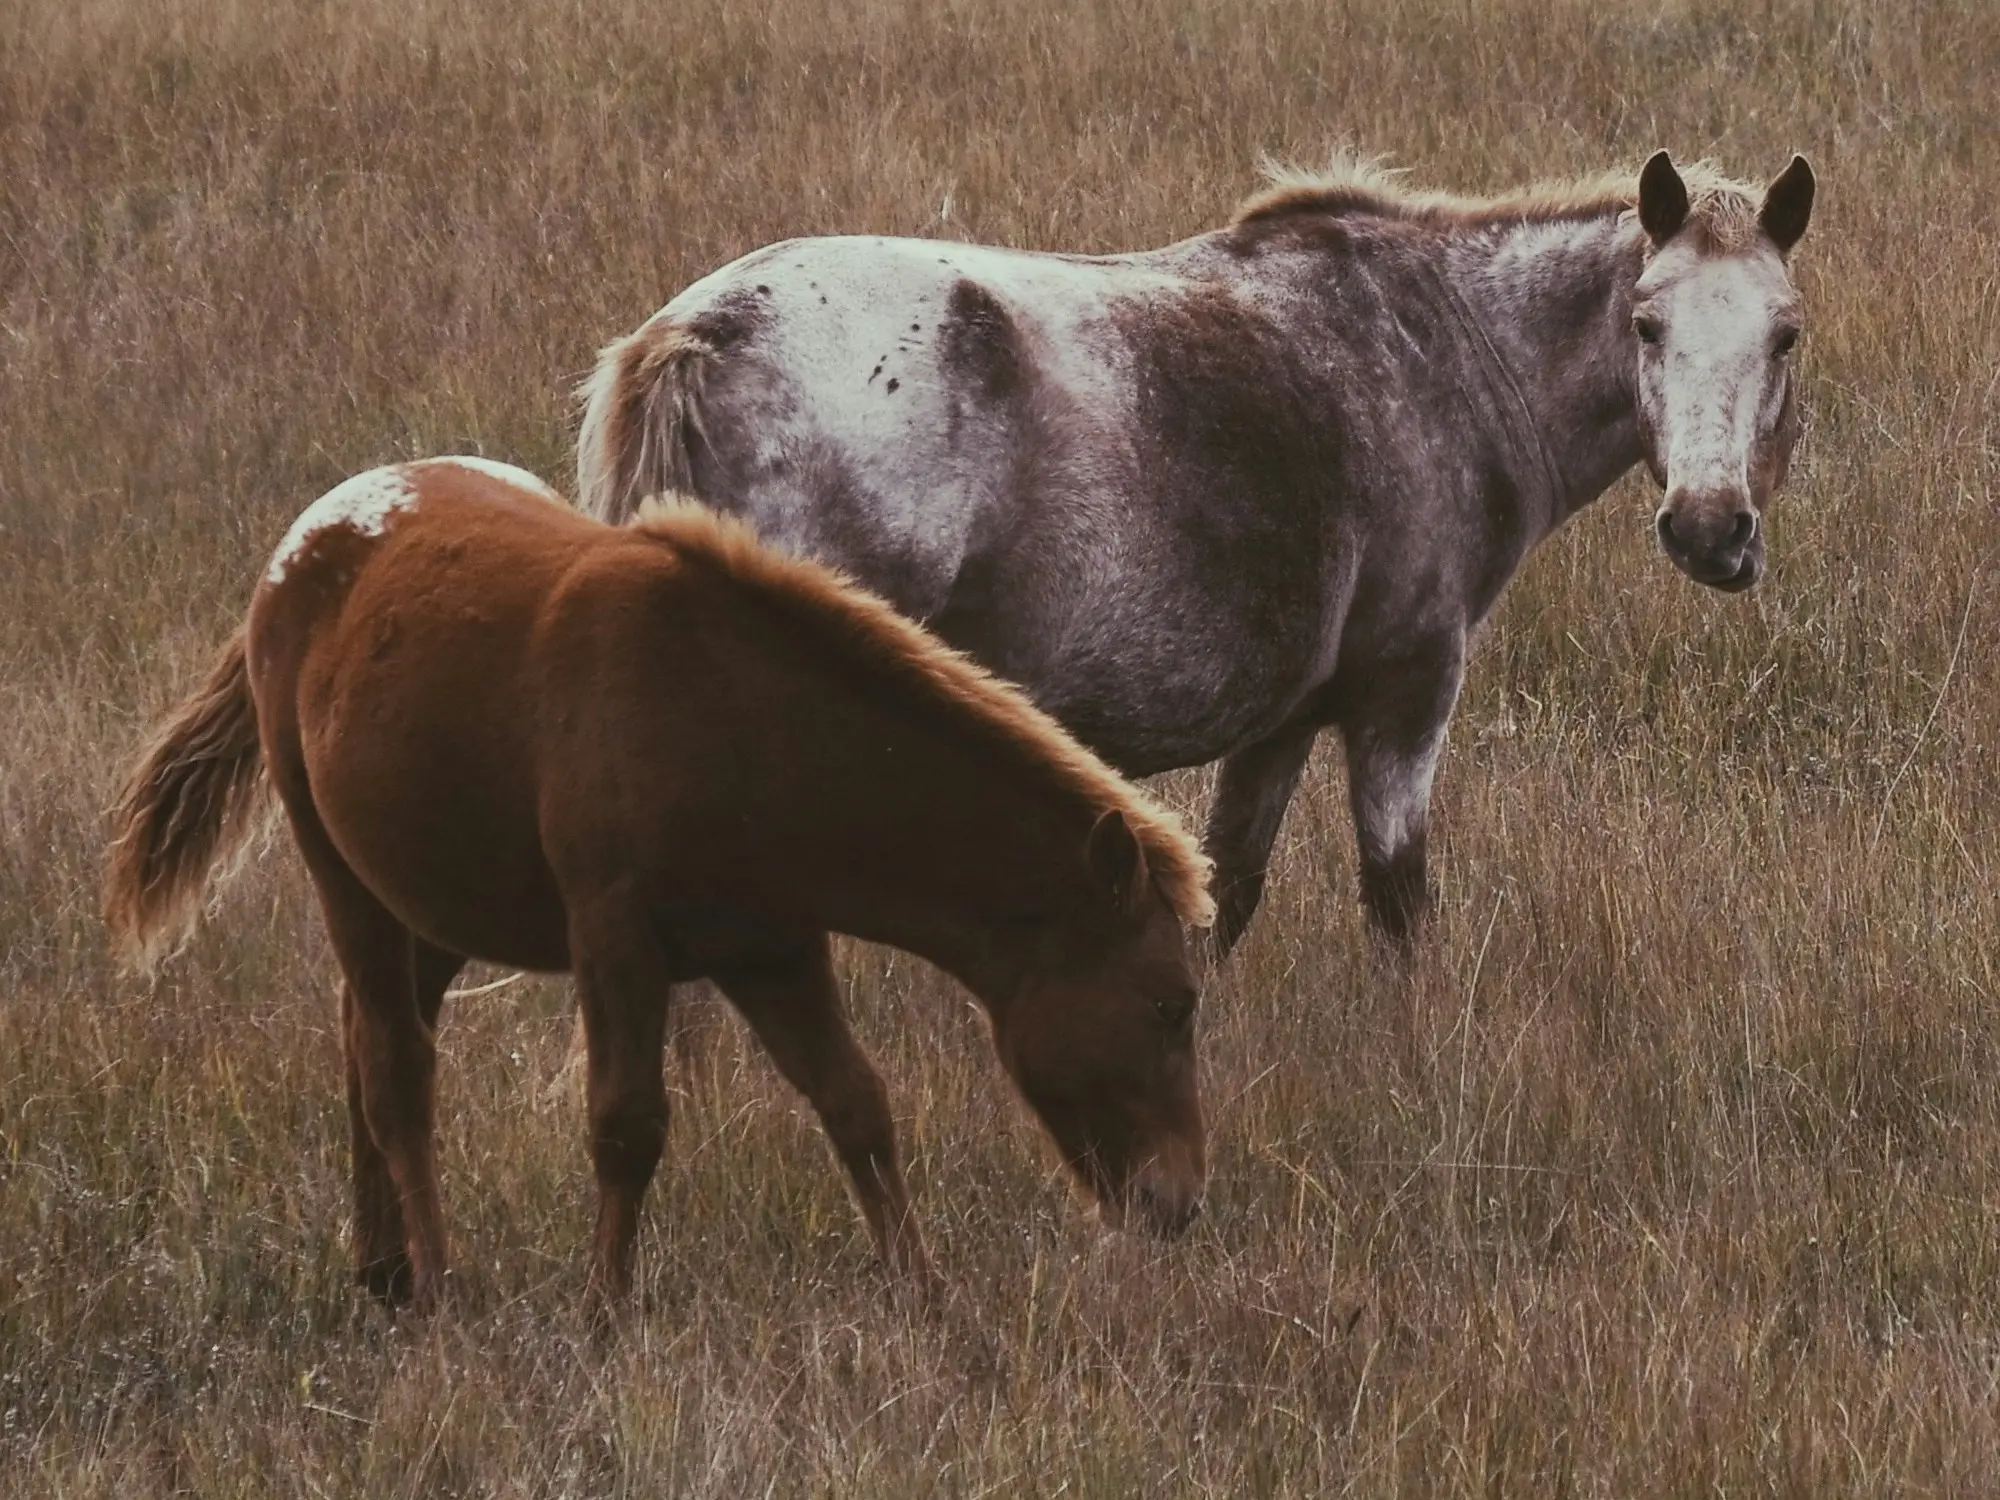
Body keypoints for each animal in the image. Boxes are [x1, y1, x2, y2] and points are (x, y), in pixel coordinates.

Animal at [105, 458, 1216, 1312]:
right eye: (1170, 1003)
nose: (1179, 1203)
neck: (739, 723)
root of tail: (303, 544)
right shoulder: (616, 938)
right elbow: (626, 1126)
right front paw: (605, 1312)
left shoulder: (775, 949)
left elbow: (856, 1104)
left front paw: (925, 1296)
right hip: (348, 884)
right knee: (396, 1074)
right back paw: (441, 1288)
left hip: (429, 906)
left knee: (365, 1045)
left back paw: (386, 1273)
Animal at [580, 150, 1816, 952]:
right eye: (1646, 325)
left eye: (1784, 334)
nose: (1710, 529)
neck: (1441, 353)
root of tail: (700, 336)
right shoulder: (1405, 697)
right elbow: (1398, 906)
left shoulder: (1279, 728)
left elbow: (1230, 895)